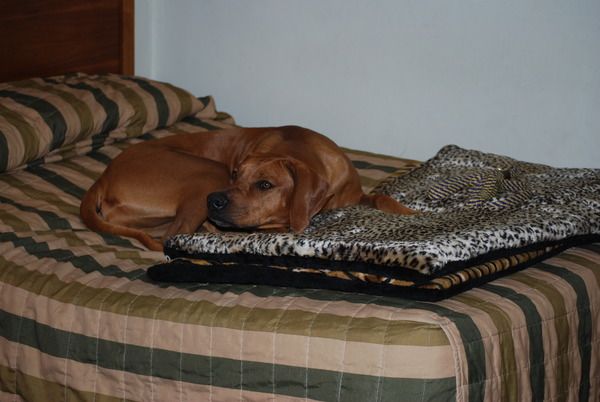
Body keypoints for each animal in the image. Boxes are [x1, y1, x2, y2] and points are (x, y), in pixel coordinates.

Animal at [80, 126, 414, 251]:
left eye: (264, 184)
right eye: (235, 175)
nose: (214, 201)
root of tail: (104, 176)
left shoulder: (356, 194)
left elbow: (381, 197)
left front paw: (412, 214)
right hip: (205, 172)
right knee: (175, 235)